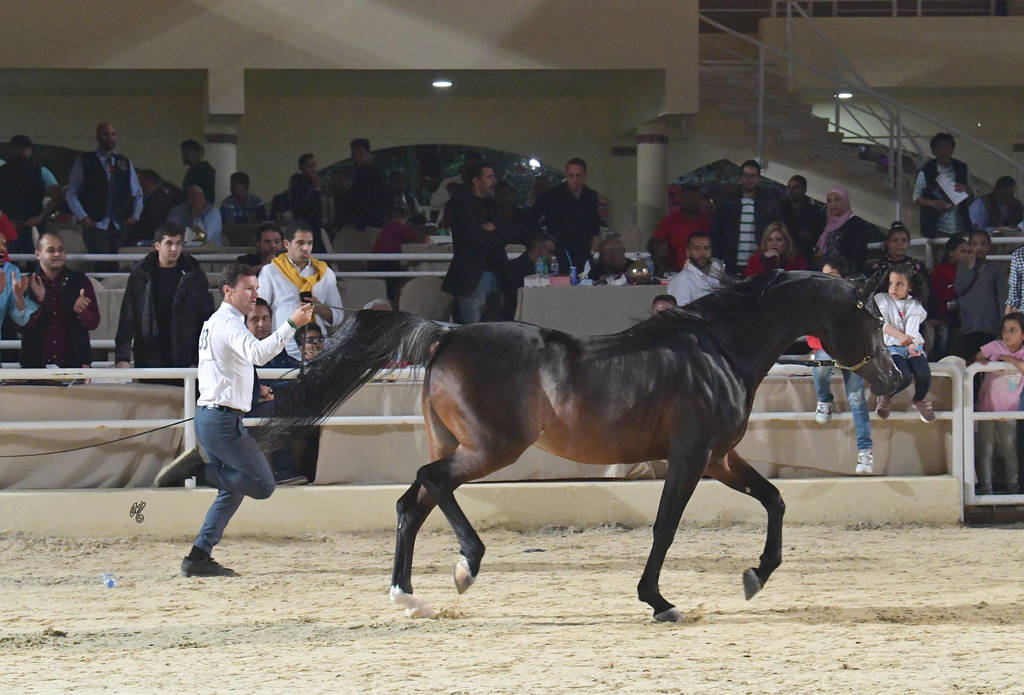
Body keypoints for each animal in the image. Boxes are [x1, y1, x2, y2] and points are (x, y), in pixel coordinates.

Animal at [258, 270, 903, 622]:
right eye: (872, 317)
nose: (894, 377)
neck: (717, 349)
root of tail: (447, 334)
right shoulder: (692, 457)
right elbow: (666, 527)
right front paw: (659, 601)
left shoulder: (721, 458)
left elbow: (774, 499)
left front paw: (756, 577)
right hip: (489, 449)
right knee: (431, 482)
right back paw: (468, 565)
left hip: (464, 445)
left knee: (410, 503)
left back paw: (409, 598)